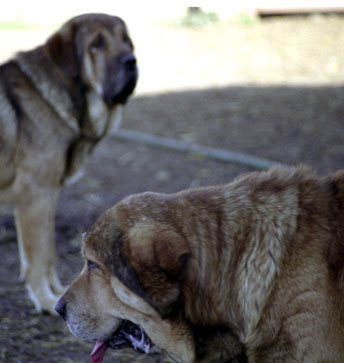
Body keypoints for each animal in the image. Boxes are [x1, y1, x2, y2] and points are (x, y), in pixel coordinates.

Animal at [0, 12, 137, 312]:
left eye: (126, 41)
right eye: (96, 44)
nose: (131, 61)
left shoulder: (48, 195)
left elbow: (47, 252)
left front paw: (57, 291)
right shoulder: (33, 196)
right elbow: (36, 259)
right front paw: (45, 300)